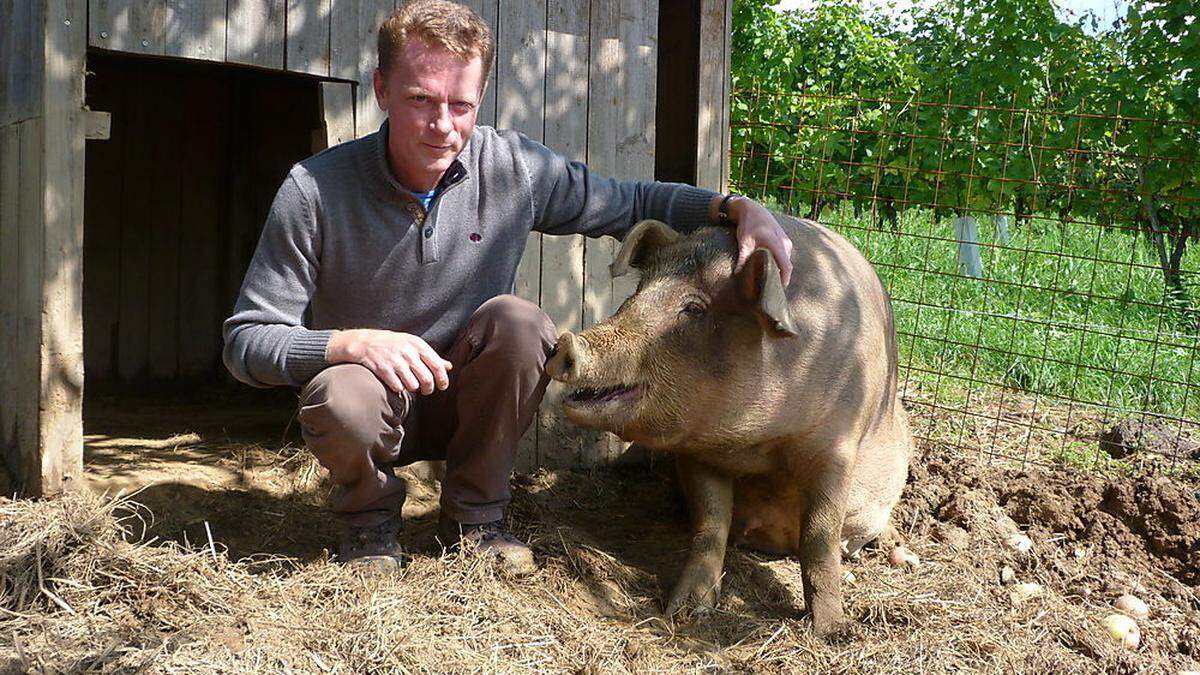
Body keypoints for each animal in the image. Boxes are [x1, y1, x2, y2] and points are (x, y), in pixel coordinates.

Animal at [544, 216, 907, 634]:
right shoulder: (697, 451)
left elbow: (820, 537)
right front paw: (684, 611)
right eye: (636, 293)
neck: (755, 443)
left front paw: (832, 631)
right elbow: (709, 525)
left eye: (693, 307)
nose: (564, 343)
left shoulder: (837, 446)